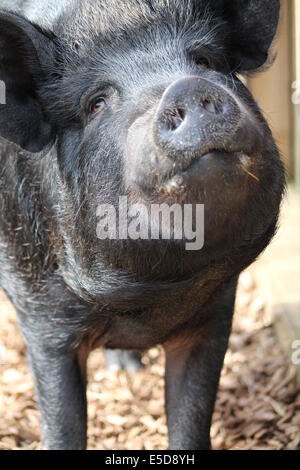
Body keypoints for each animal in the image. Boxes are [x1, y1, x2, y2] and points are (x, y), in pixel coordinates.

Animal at [0, 0, 284, 448]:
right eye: (95, 103)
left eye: (204, 61)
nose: (184, 87)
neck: (150, 299)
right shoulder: (42, 319)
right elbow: (63, 422)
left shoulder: (218, 309)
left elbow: (192, 414)